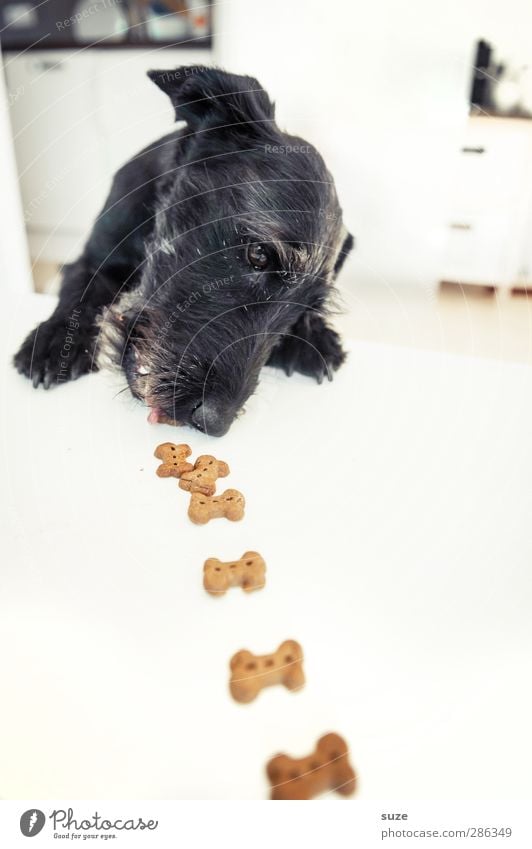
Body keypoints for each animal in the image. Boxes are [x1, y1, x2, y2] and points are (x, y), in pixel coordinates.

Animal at [13, 66, 354, 438]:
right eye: (259, 254)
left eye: (304, 309)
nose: (214, 422)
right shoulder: (91, 261)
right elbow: (79, 293)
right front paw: (56, 340)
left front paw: (312, 335)